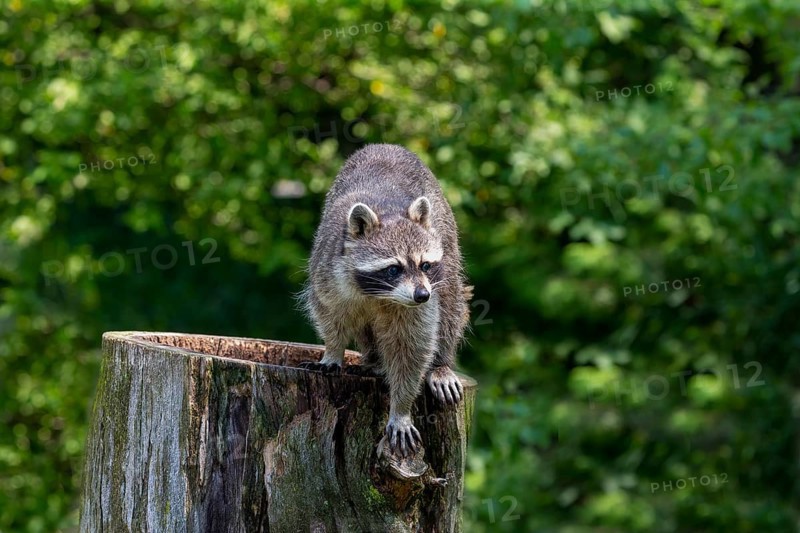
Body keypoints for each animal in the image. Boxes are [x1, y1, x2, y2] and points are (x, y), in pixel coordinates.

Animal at [299, 144, 471, 456]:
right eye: (394, 268)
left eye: (425, 265)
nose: (422, 295)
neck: (381, 294)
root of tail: (386, 145)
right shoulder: (328, 272)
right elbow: (330, 313)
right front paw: (333, 350)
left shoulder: (421, 300)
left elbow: (412, 347)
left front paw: (400, 408)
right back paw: (374, 359)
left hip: (447, 238)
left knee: (451, 303)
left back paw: (441, 362)